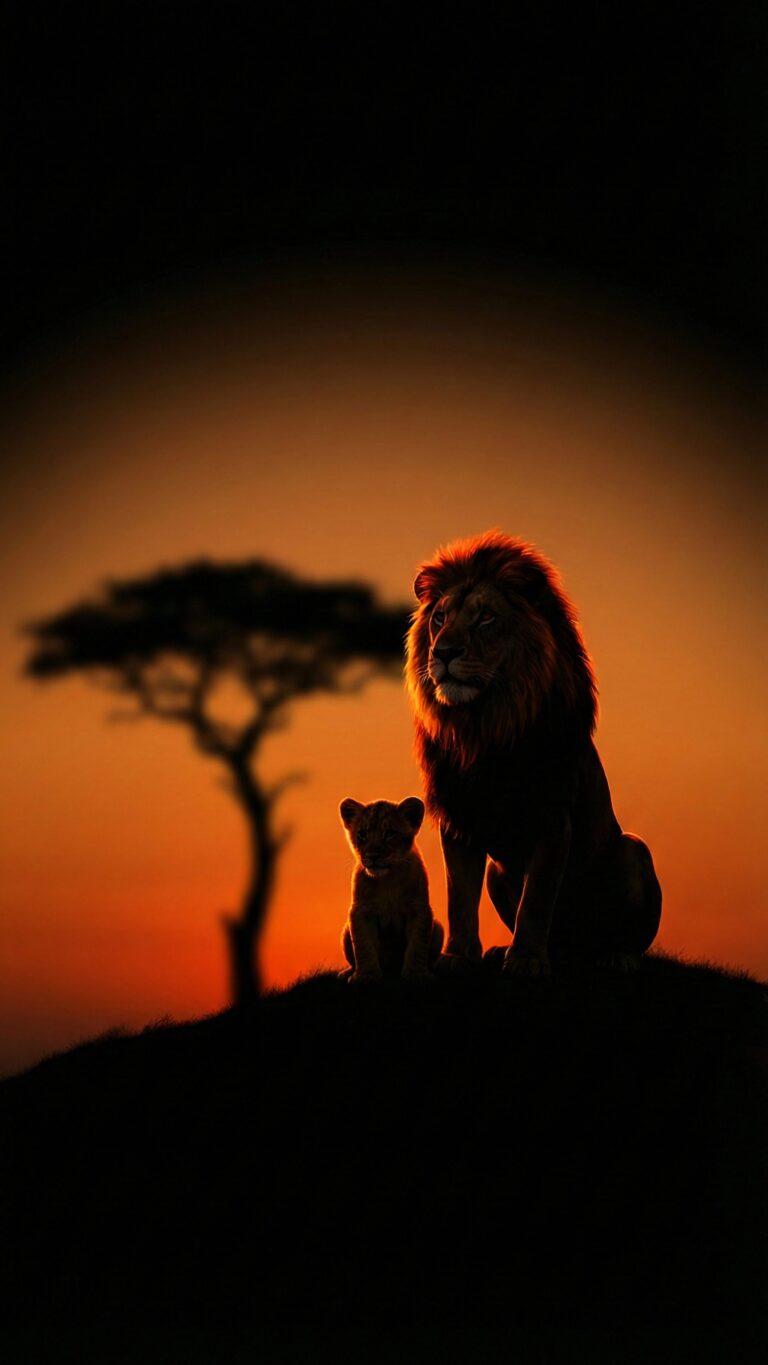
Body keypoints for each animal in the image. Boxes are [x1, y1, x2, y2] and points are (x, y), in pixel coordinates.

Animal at [339, 796, 444, 982]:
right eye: (362, 834)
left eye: (390, 834)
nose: (372, 856)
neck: (387, 880)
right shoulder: (360, 912)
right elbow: (363, 947)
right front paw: (366, 976)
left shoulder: (418, 909)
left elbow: (417, 946)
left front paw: (416, 974)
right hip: (345, 932)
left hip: (438, 928)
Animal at [405, 530, 662, 975]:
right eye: (440, 618)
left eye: (486, 618)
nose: (443, 653)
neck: (484, 728)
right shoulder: (458, 819)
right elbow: (460, 899)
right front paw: (458, 956)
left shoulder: (552, 817)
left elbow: (537, 900)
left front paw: (525, 959)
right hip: (497, 873)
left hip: (633, 849)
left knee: (625, 937)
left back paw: (617, 957)